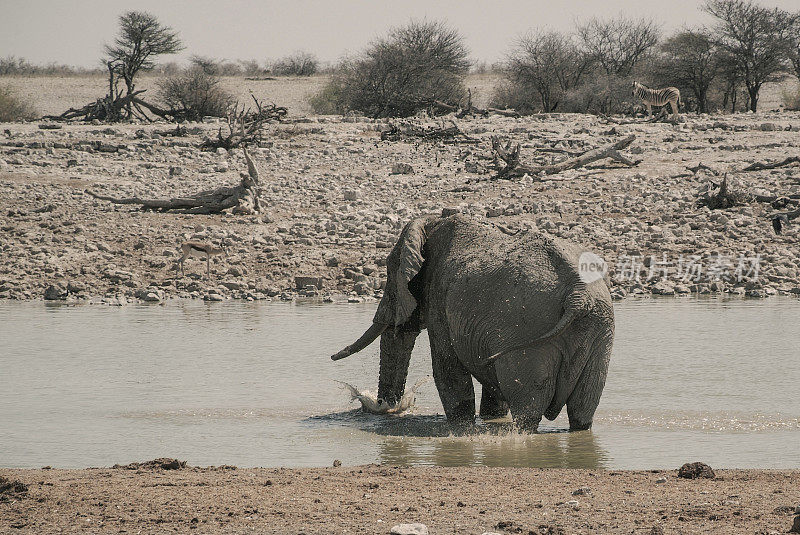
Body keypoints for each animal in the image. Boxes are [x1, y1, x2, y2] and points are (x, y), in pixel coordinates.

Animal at [330, 215, 612, 436]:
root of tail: (578, 294)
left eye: (390, 275)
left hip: (530, 333)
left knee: (528, 407)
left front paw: (461, 427)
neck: (432, 223)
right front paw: (489, 420)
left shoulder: (440, 297)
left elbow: (446, 367)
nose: (385, 408)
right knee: (584, 406)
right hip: (599, 331)